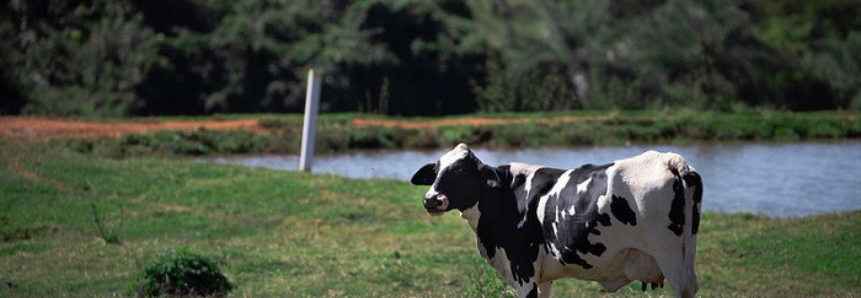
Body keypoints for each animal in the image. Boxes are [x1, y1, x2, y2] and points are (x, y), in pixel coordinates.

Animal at [414, 144, 704, 298]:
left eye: (461, 170)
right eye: (436, 170)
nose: (431, 199)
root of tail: (667, 158)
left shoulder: (523, 271)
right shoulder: (542, 278)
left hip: (669, 258)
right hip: (685, 256)